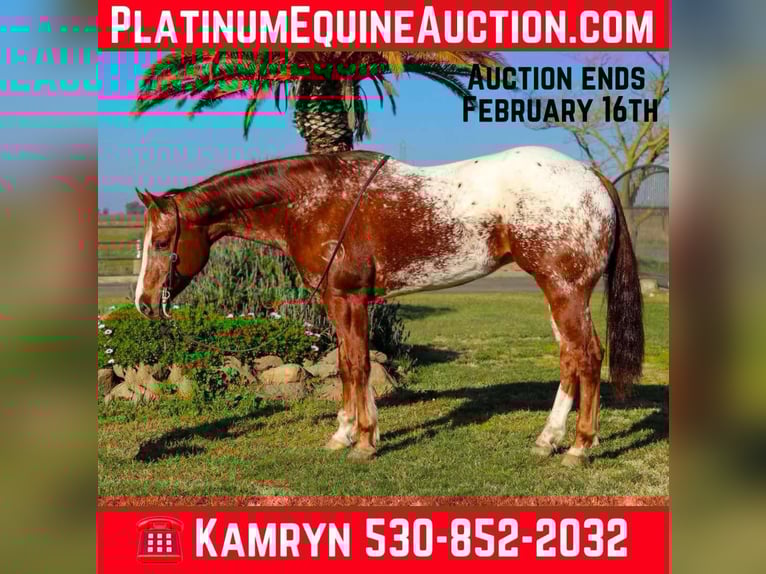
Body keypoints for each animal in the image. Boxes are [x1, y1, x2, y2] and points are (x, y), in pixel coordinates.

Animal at [134, 146, 644, 466]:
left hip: (565, 290)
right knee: (570, 359)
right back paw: (548, 440)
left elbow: (357, 365)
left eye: (161, 242)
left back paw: (579, 447)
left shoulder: (348, 299)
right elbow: (345, 364)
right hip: (559, 294)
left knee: (588, 356)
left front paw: (363, 441)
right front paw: (342, 434)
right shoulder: (337, 301)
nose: (143, 304)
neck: (317, 202)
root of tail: (591, 176)